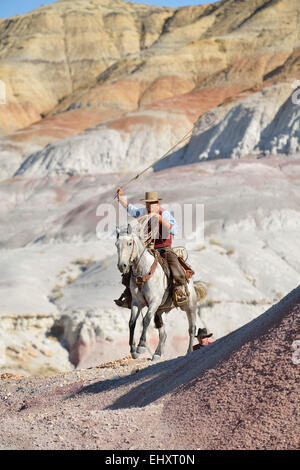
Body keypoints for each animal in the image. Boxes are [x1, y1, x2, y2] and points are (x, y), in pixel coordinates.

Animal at [115, 223, 206, 360]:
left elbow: (145, 320)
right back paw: (157, 354)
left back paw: (189, 351)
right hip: (160, 311)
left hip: (190, 306)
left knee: (192, 329)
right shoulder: (137, 303)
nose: (122, 266)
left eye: (130, 243)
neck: (143, 271)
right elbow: (132, 323)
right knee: (163, 333)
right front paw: (133, 350)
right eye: (116, 244)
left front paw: (141, 347)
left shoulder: (154, 302)